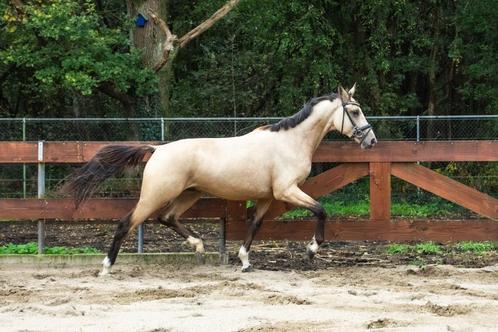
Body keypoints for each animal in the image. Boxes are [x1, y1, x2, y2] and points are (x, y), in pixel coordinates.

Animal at [65, 85, 378, 274]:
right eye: (354, 111)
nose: (372, 141)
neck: (290, 141)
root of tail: (157, 149)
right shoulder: (287, 190)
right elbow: (321, 210)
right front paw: (312, 250)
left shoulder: (267, 196)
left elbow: (254, 225)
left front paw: (245, 261)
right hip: (155, 195)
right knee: (126, 223)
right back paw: (106, 266)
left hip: (189, 194)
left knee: (167, 218)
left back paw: (199, 247)